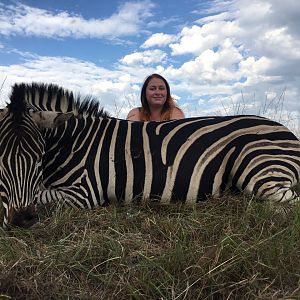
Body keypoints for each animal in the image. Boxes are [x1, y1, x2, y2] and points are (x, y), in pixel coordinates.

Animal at [0, 82, 300, 227]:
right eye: (0, 161)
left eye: (38, 157)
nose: (22, 221)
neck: (72, 142)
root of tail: (286, 129)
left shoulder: (84, 192)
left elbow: (41, 195)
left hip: (260, 171)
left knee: (284, 202)